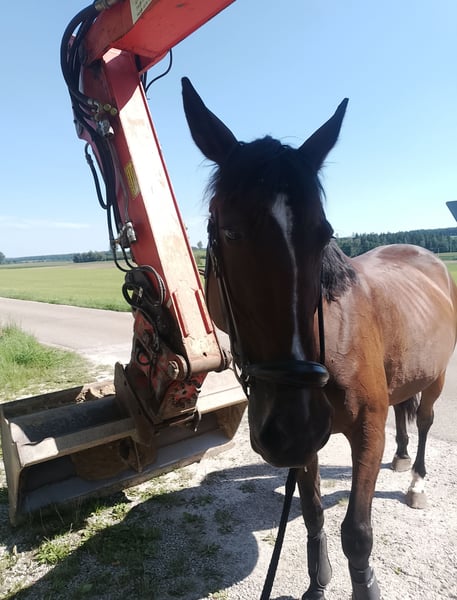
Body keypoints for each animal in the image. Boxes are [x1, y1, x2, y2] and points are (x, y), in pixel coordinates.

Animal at [181, 77, 457, 600]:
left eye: (324, 232)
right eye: (229, 232)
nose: (294, 425)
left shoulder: (366, 432)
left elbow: (358, 533)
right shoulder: (306, 445)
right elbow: (310, 513)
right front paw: (317, 581)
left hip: (436, 377)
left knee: (426, 419)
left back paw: (416, 480)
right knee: (405, 413)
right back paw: (401, 457)